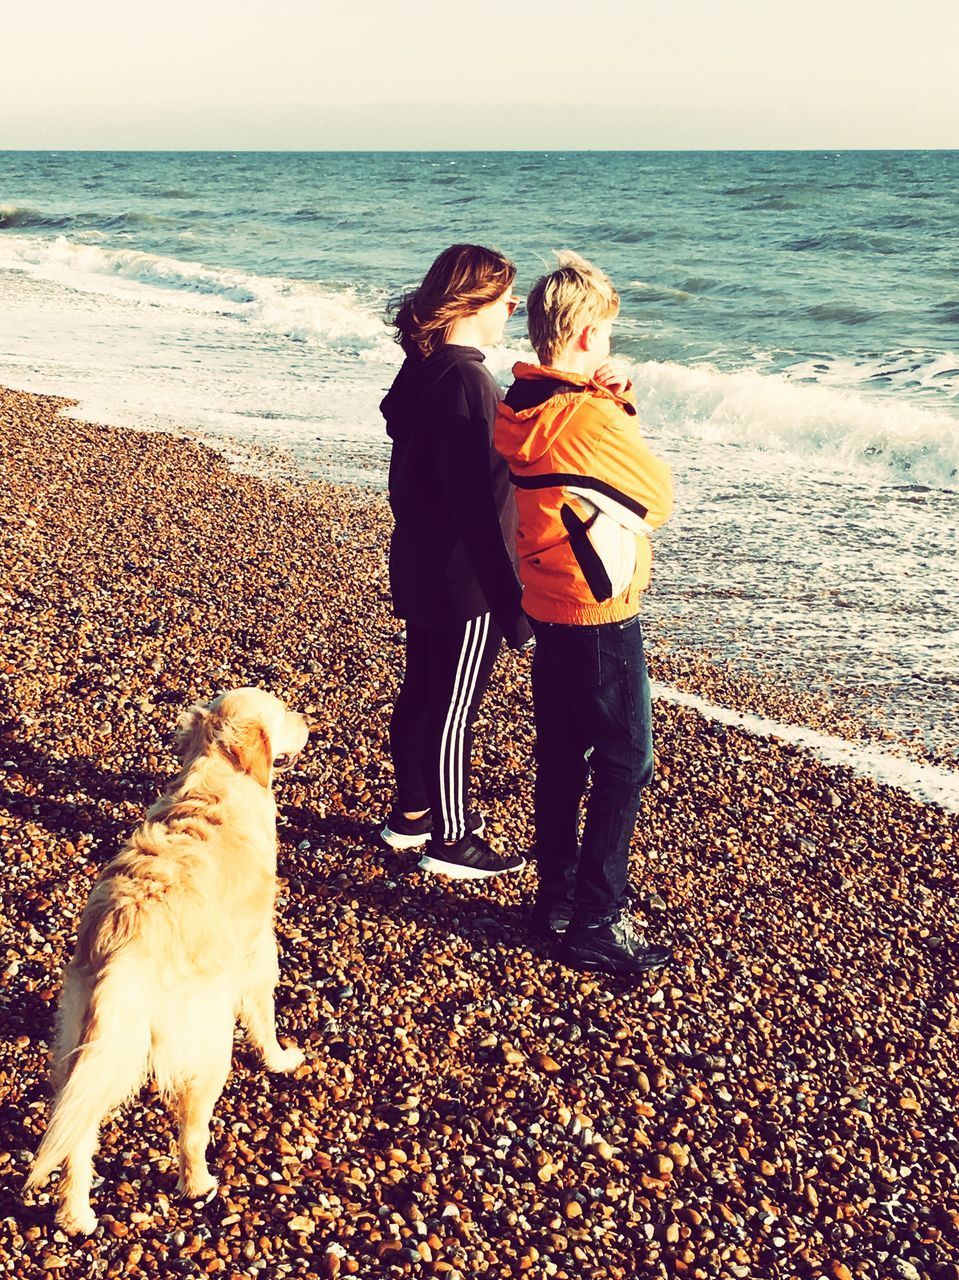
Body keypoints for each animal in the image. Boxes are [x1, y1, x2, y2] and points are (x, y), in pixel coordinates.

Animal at [26, 691, 308, 1239]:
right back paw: (199, 1185)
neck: (215, 776)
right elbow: (264, 1016)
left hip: (87, 1046)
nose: (308, 722)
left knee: (76, 1132)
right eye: (283, 712)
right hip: (208, 1046)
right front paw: (281, 1058)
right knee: (191, 1132)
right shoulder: (258, 949)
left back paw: (76, 1215)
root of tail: (125, 943)